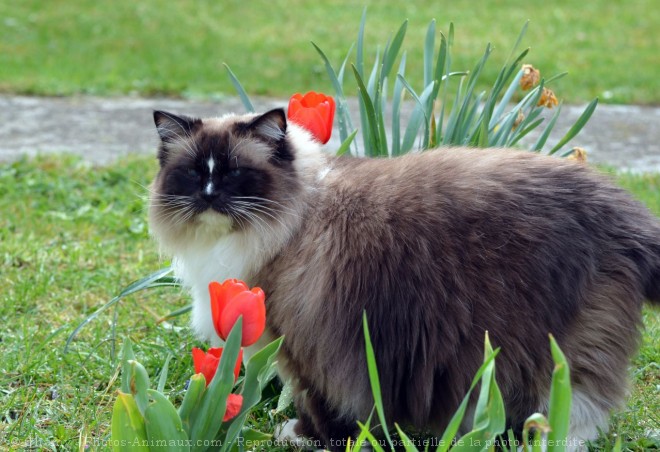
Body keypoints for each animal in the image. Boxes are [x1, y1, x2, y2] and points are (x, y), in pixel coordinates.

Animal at [148, 107, 660, 450]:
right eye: (192, 173)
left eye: (234, 173)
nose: (208, 196)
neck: (295, 216)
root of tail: (623, 208)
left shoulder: (300, 348)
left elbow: (321, 406)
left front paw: (305, 436)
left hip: (556, 351)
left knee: (577, 412)